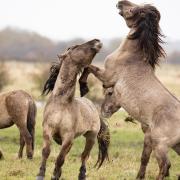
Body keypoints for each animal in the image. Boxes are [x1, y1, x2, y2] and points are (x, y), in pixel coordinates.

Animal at [36, 39, 109, 180]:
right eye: (76, 47)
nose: (97, 41)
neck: (62, 104)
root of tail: (93, 107)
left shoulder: (68, 137)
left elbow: (60, 158)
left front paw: (54, 176)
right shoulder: (48, 130)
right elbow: (46, 151)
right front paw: (41, 174)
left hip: (91, 137)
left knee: (84, 156)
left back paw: (82, 174)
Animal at [79, 0, 180, 179]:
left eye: (132, 9)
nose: (120, 3)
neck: (131, 56)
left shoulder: (107, 76)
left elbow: (88, 68)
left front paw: (83, 86)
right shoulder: (147, 136)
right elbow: (144, 159)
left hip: (161, 145)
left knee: (165, 165)